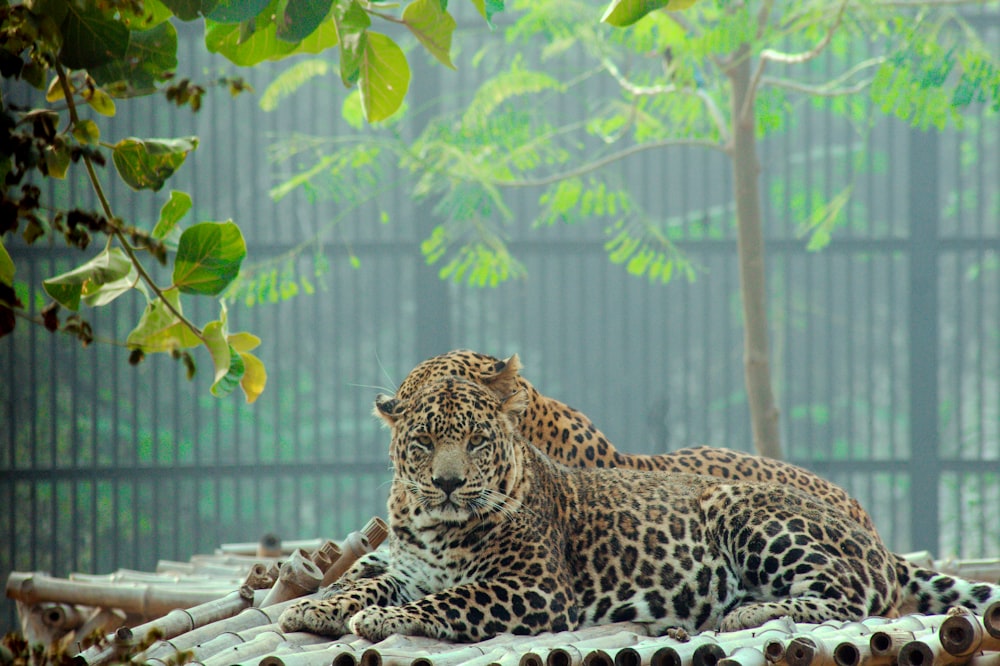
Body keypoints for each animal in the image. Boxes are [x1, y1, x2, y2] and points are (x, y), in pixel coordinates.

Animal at [282, 378, 1000, 644]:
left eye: (477, 440)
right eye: (425, 441)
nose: (450, 483)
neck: (433, 526)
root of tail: (877, 542)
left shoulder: (534, 589)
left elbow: (446, 601)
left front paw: (380, 618)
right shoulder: (409, 565)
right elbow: (370, 579)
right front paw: (315, 605)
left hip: (748, 512)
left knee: (852, 598)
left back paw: (749, 610)